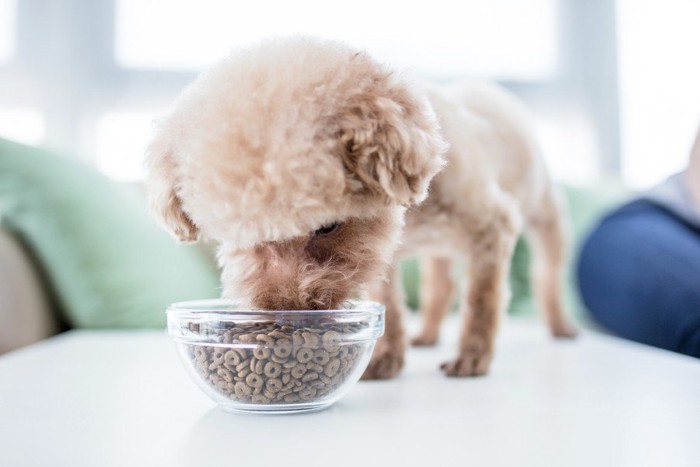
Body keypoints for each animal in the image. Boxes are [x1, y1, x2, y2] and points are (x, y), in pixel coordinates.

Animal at [145, 36, 576, 380]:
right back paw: (427, 333)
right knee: (440, 284)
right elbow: (391, 306)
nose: (288, 313)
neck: (411, 215)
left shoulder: (491, 229)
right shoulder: (381, 257)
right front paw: (385, 358)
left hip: (545, 215)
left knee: (547, 275)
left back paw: (561, 326)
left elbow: (482, 302)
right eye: (245, 238)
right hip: (438, 251)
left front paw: (472, 357)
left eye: (327, 226)